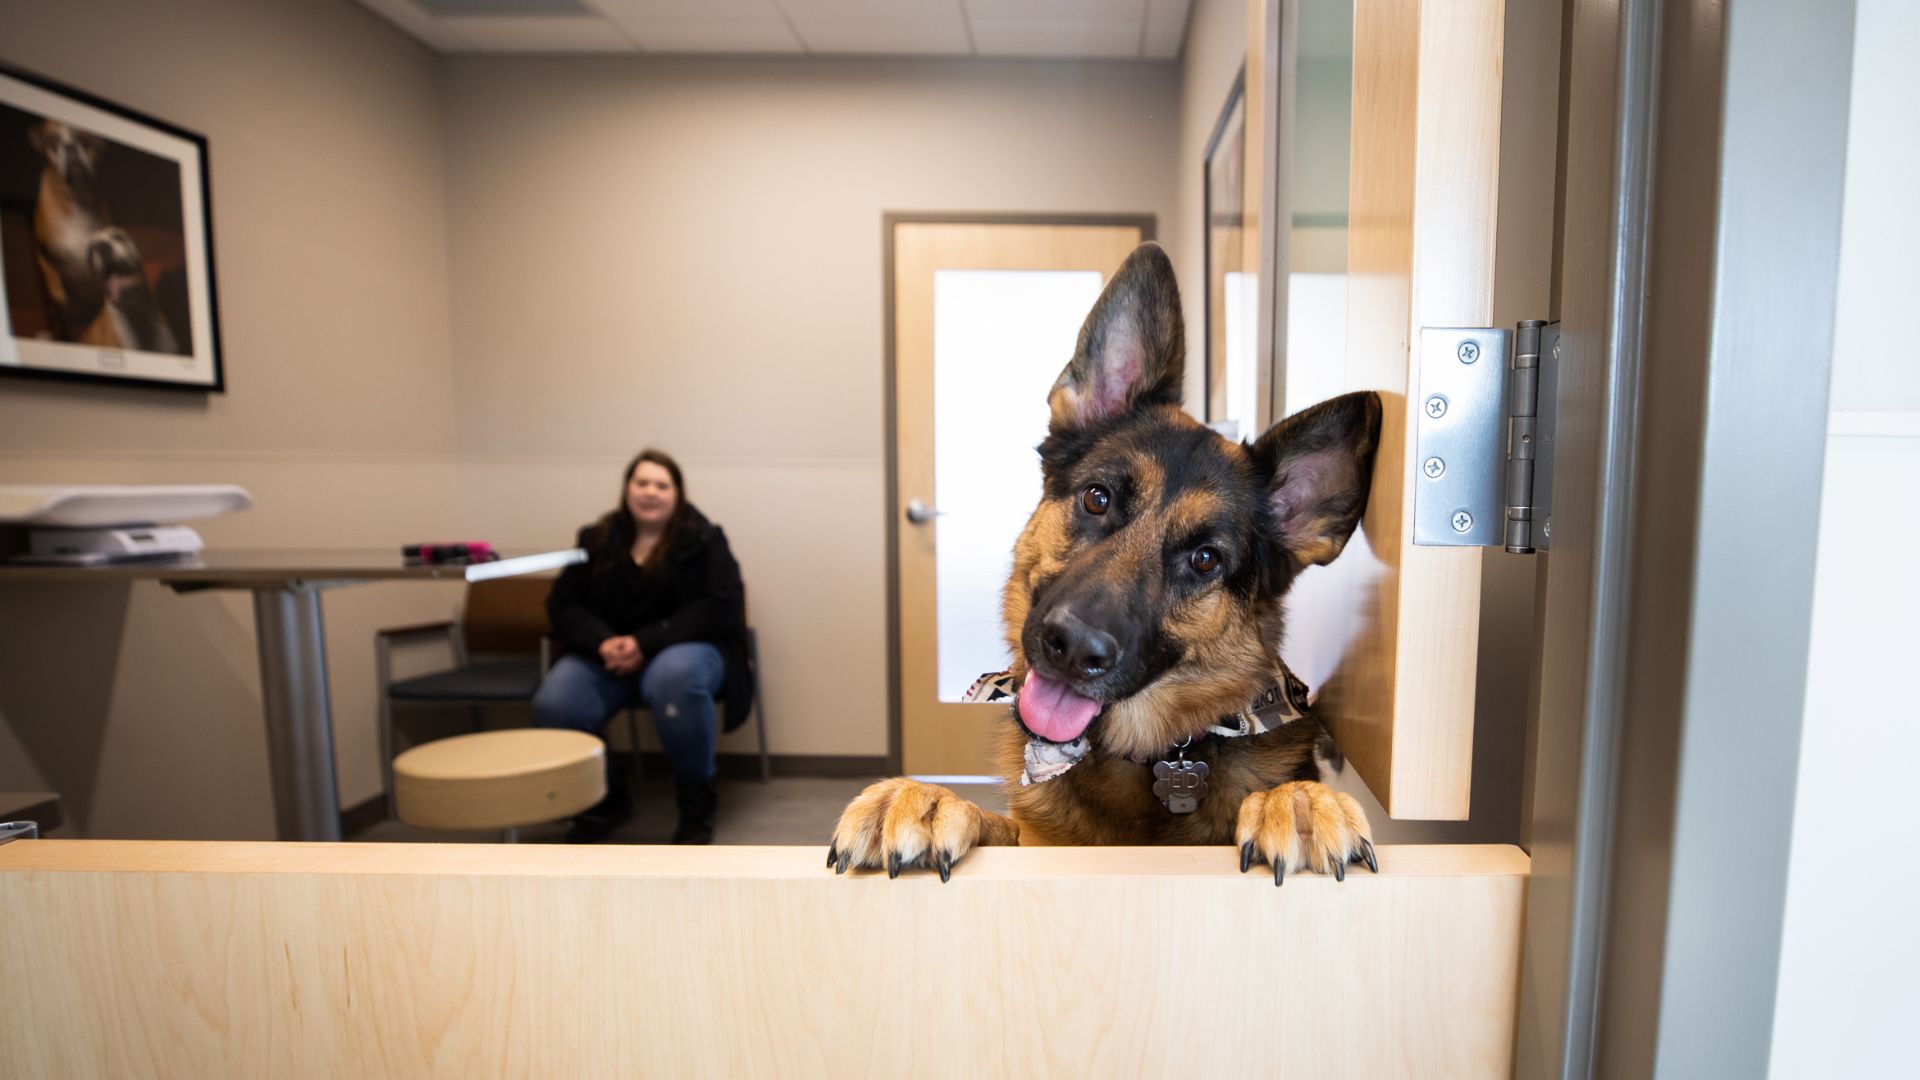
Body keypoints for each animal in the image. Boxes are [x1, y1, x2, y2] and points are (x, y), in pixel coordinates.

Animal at [825, 239, 1382, 880]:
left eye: (1206, 559)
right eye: (1098, 498)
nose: (1072, 649)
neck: (1157, 757)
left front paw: (1298, 802)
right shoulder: (1035, 843)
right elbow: (999, 827)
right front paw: (926, 798)